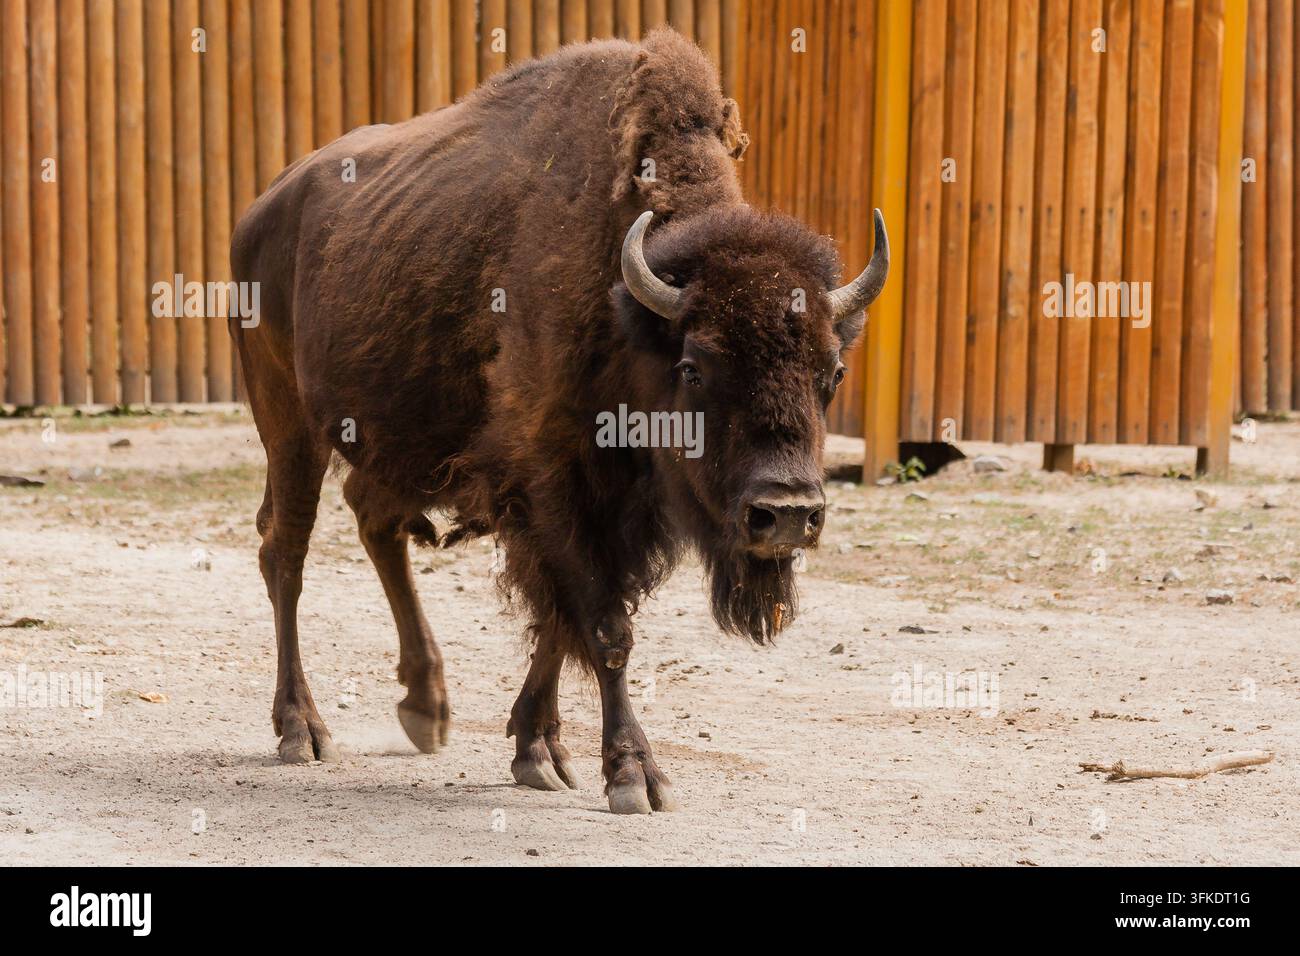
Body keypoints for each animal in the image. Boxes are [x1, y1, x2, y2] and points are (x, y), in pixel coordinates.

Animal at [230, 28, 887, 813]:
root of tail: (264, 206)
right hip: (288, 425)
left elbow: (561, 619)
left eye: (832, 373)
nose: (785, 513)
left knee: (373, 523)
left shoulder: (605, 508)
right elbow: (604, 626)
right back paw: (303, 729)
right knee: (286, 553)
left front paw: (538, 750)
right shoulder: (553, 483)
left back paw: (426, 708)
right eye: (695, 367)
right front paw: (633, 774)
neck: (629, 313)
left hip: (391, 441)